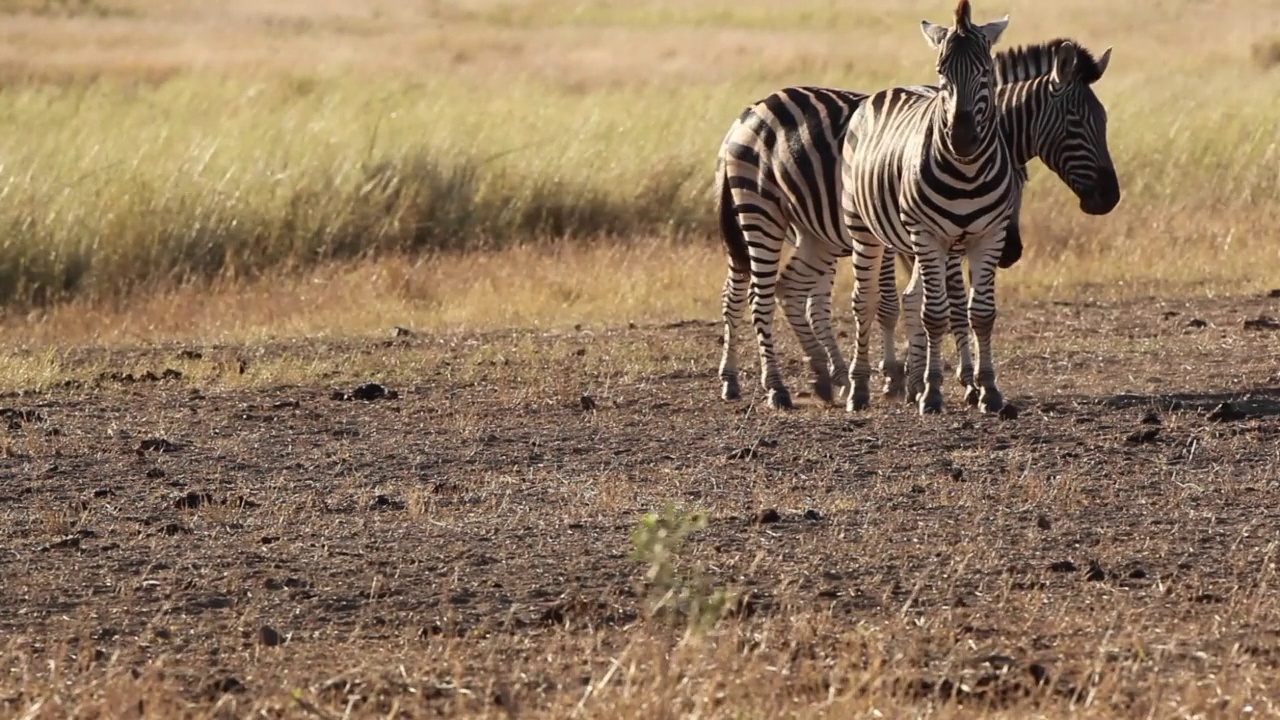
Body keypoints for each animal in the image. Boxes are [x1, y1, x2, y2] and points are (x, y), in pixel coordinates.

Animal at [716, 33, 1116, 412]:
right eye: (1076, 123)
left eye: (1023, 183)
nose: (1109, 197)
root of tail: (751, 110)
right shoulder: (925, 237)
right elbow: (937, 304)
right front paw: (947, 381)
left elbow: (921, 302)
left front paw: (918, 378)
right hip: (759, 215)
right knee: (751, 296)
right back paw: (765, 386)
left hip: (815, 234)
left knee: (791, 291)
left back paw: (825, 378)